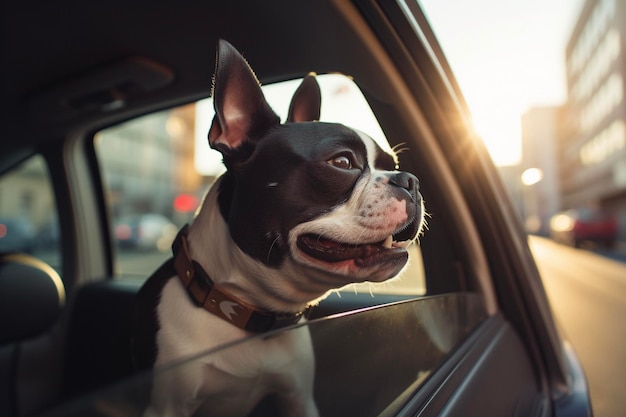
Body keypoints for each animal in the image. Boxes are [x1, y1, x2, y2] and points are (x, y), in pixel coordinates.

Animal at [132, 39, 424, 416]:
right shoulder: (166, 407)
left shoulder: (298, 397)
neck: (251, 316)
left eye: (393, 164)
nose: (410, 180)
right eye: (342, 162)